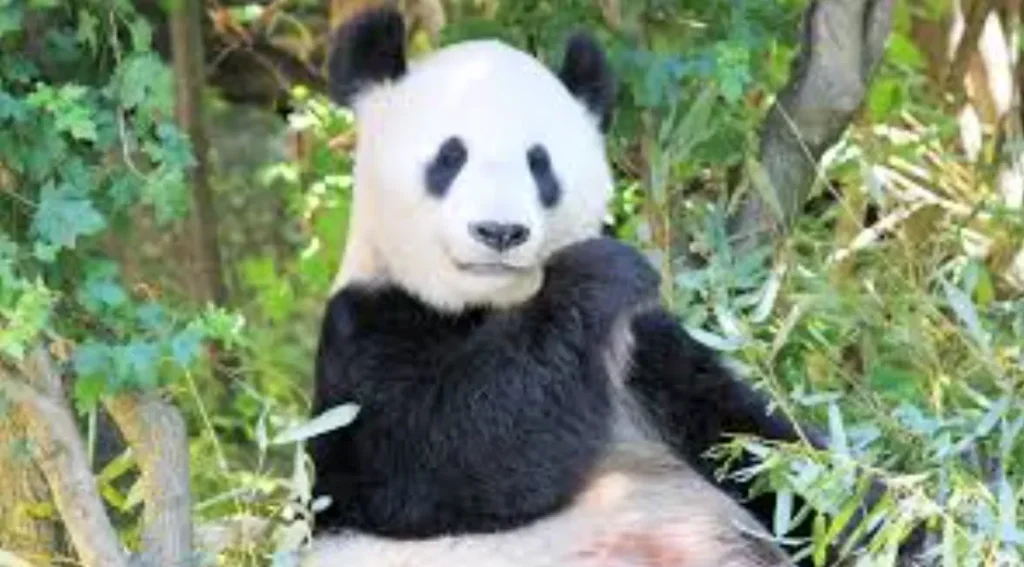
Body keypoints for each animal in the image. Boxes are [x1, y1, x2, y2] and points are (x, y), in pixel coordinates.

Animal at [302, 7, 919, 567]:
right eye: (449, 157)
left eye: (540, 164)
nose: (500, 231)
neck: (486, 306)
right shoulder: (364, 330)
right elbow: (433, 457)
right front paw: (599, 270)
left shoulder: (646, 352)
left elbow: (765, 455)